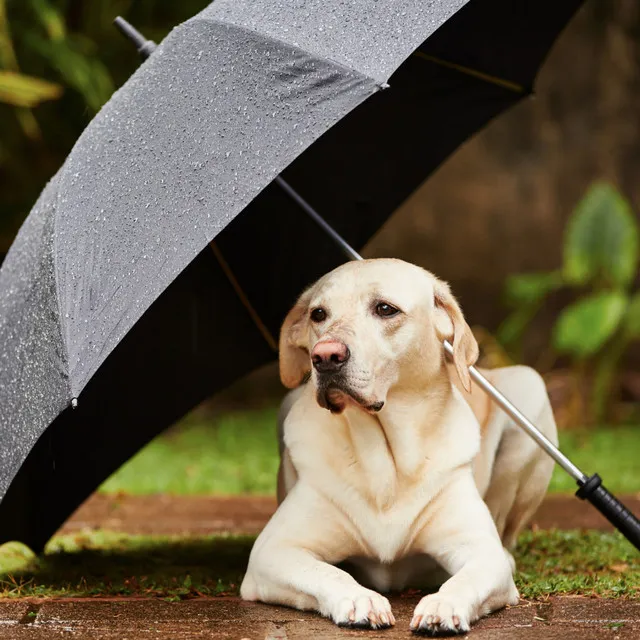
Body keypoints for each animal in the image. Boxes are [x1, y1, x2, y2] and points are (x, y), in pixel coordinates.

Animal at [240, 258, 556, 636]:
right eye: (318, 314)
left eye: (385, 309)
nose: (324, 356)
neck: (386, 460)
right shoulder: (272, 551)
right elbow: (327, 572)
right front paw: (359, 599)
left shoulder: (481, 551)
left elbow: (467, 577)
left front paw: (443, 604)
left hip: (530, 389)